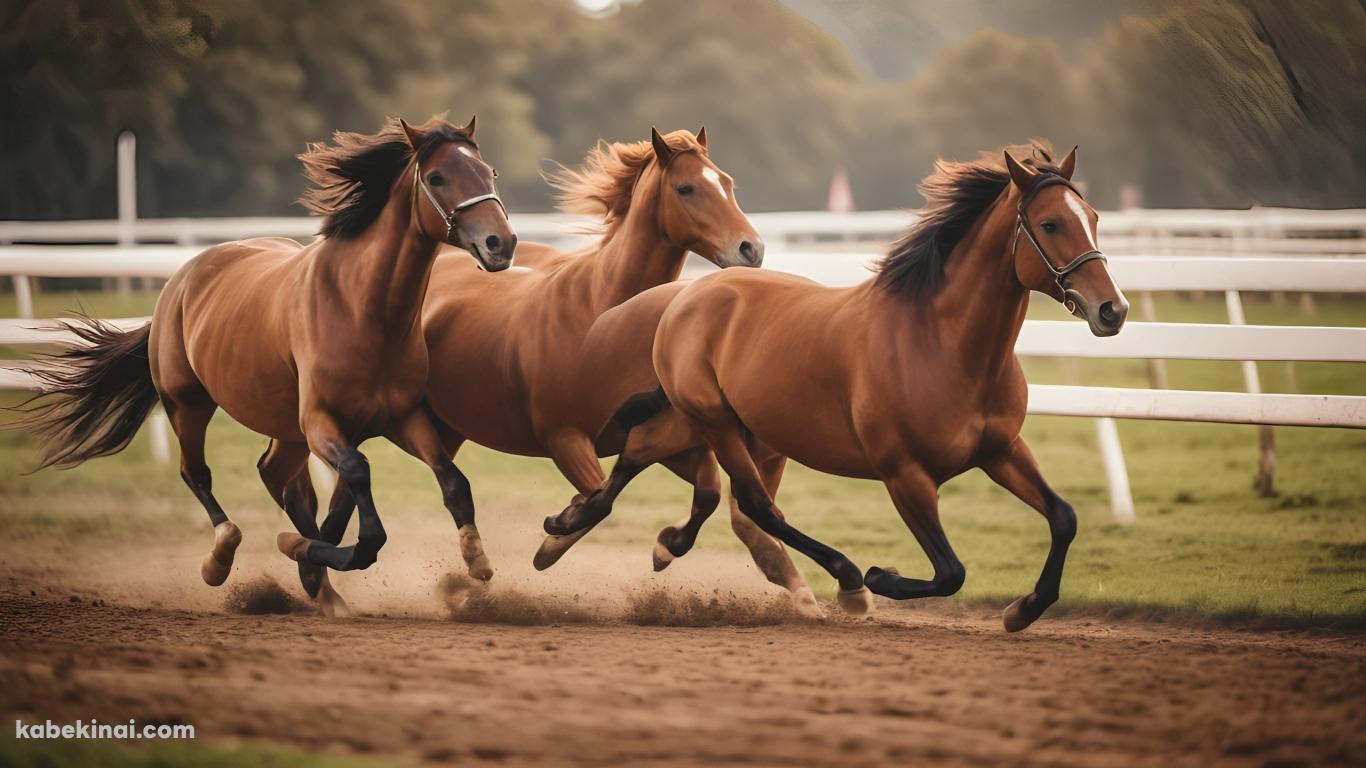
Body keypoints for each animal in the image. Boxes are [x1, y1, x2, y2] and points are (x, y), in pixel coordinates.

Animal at [16, 114, 516, 609]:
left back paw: (316, 582)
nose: (502, 243)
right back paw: (221, 559)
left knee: (280, 480)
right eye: (436, 177)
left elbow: (451, 481)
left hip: (283, 427)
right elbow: (365, 513)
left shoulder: (401, 417)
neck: (363, 308)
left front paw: (476, 562)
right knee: (198, 474)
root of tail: (182, 278)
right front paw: (305, 552)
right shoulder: (320, 423)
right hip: (187, 403)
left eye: (489, 172)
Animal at [297, 128, 808, 606]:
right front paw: (553, 538)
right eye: (686, 188)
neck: (602, 318)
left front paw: (666, 547)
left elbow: (706, 494)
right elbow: (599, 499)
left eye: (726, 182)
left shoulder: (667, 439)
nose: (751, 250)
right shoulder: (565, 440)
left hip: (439, 429)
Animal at [543, 144, 1131, 628]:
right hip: (718, 423)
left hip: (704, 422)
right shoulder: (905, 474)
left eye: (1093, 217)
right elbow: (951, 572)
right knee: (755, 505)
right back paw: (846, 578)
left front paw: (1023, 609)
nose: (1113, 310)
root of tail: (685, 298)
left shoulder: (1002, 450)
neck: (943, 346)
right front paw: (878, 578)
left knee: (643, 455)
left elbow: (1064, 518)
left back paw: (590, 530)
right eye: (1050, 224)